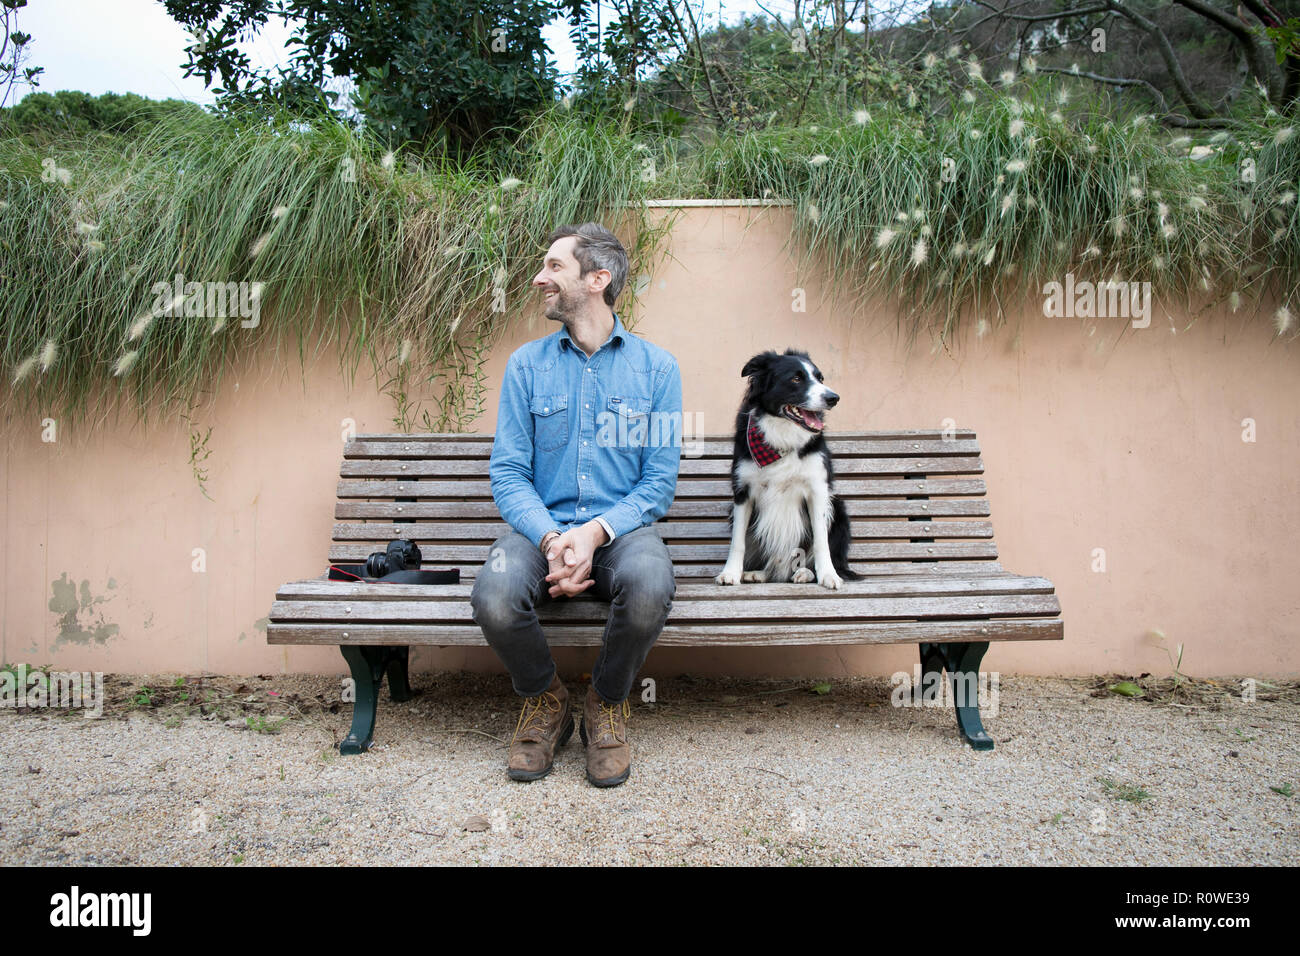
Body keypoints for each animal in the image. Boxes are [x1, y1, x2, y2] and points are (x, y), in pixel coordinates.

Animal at [712, 351, 863, 590]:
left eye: (820, 378)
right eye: (796, 378)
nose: (834, 398)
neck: (782, 438)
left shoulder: (817, 490)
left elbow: (821, 541)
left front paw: (828, 575)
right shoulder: (742, 492)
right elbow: (738, 541)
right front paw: (730, 573)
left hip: (838, 509)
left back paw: (806, 573)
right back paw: (759, 573)